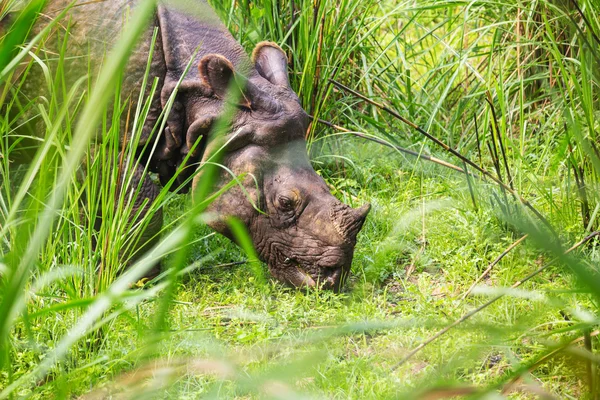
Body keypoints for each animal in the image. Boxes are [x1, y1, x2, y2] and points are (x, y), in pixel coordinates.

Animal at [8, 1, 370, 292]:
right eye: (284, 203)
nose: (334, 280)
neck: (211, 102)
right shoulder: (96, 133)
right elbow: (139, 201)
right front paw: (132, 283)